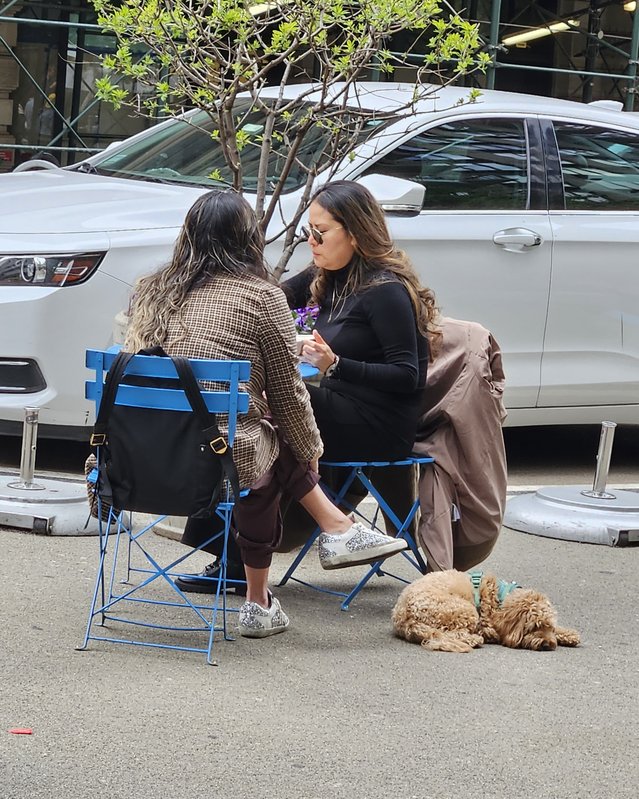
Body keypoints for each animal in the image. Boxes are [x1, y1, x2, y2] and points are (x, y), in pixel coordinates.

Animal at [392, 564, 584, 652]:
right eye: (535, 627)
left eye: (550, 627)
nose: (548, 645)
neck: (502, 598)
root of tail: (403, 616)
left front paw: (569, 634)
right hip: (462, 610)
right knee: (453, 633)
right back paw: (474, 640)